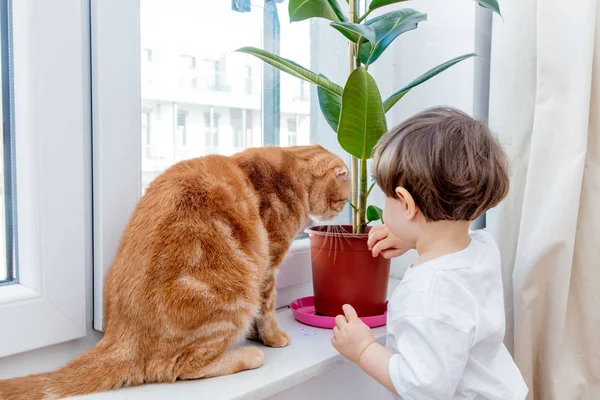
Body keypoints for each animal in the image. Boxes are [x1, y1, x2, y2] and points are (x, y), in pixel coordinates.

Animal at [0, 145, 352, 398]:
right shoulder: (268, 263)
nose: (344, 210)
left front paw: (259, 335)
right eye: (343, 197)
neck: (290, 168)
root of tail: (119, 336)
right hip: (235, 295)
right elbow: (266, 308)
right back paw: (248, 356)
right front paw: (273, 338)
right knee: (178, 368)